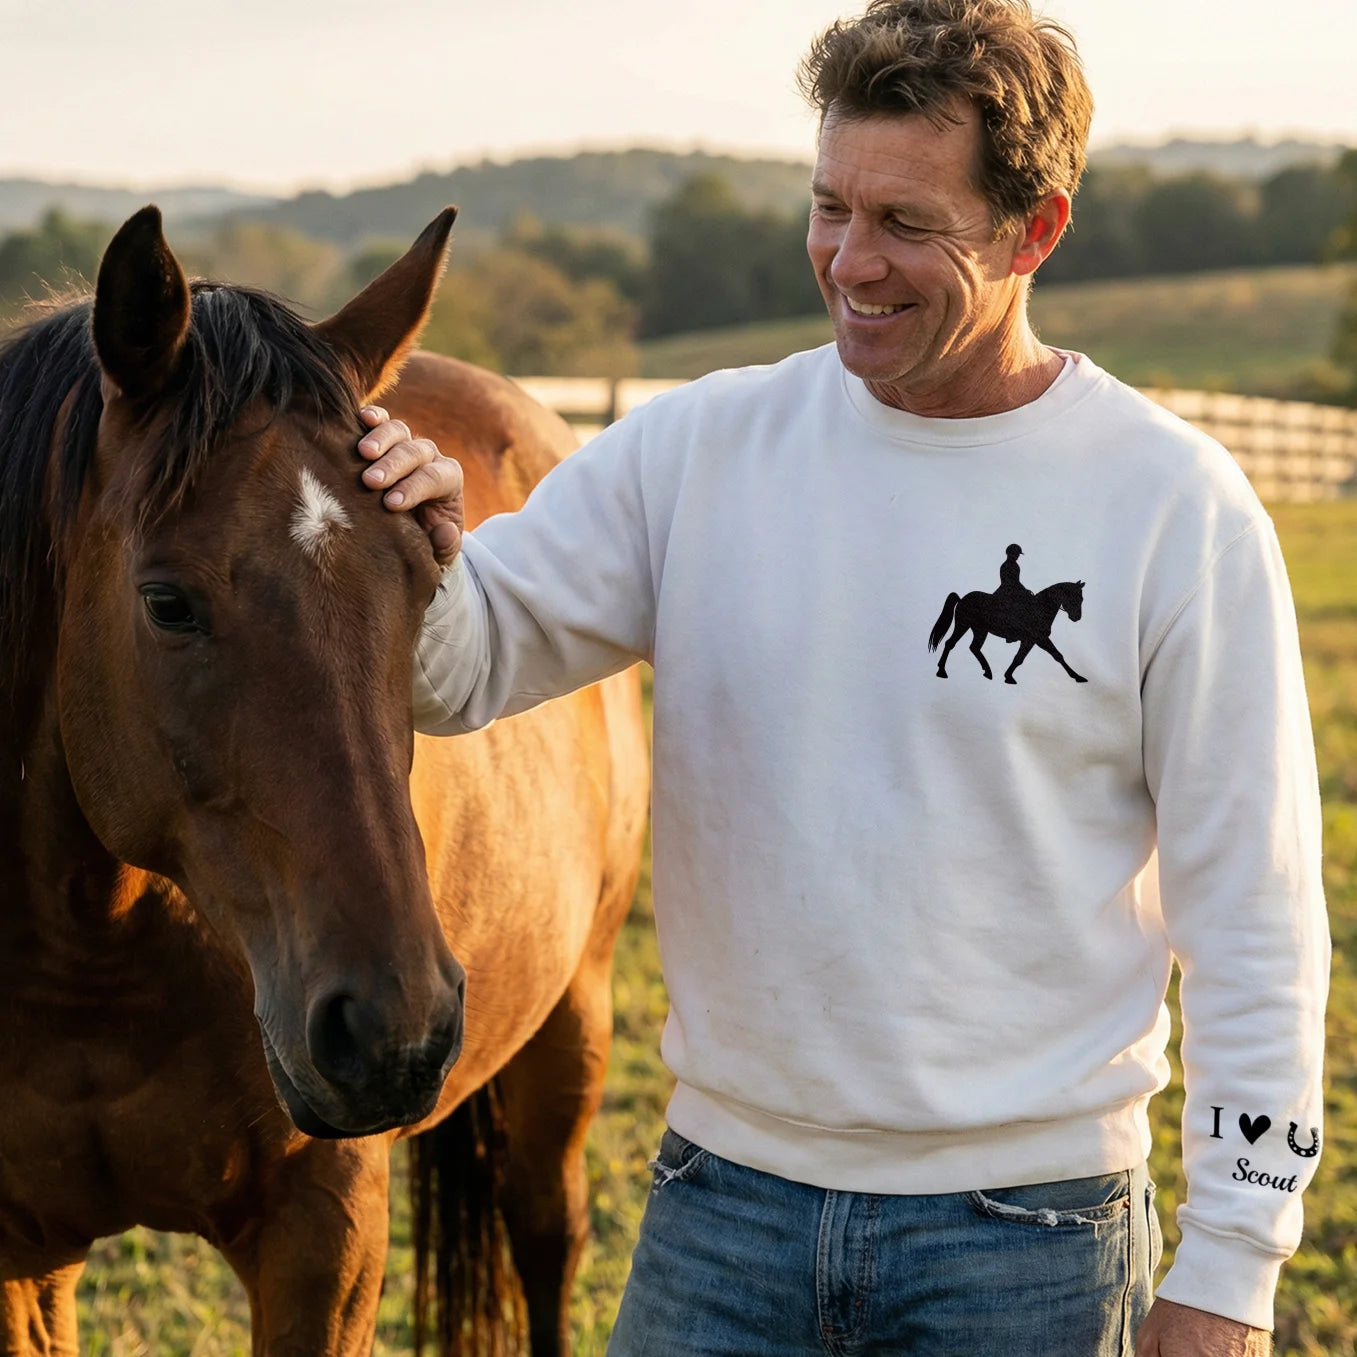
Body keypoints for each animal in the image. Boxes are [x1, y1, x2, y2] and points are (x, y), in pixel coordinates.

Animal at [0, 205, 649, 1356]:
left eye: (427, 582)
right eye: (167, 602)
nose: (396, 1028)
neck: (91, 959)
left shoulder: (325, 1233)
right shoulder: (19, 1251)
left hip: (573, 1019)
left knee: (546, 1235)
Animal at [927, 580, 1088, 685]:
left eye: (1081, 598)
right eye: (1074, 597)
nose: (1077, 618)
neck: (1040, 608)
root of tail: (962, 599)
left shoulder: (1032, 640)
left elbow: (1022, 658)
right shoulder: (1038, 639)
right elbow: (1055, 656)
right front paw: (1078, 677)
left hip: (980, 630)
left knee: (974, 648)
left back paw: (988, 672)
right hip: (963, 625)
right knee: (950, 643)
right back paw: (942, 671)